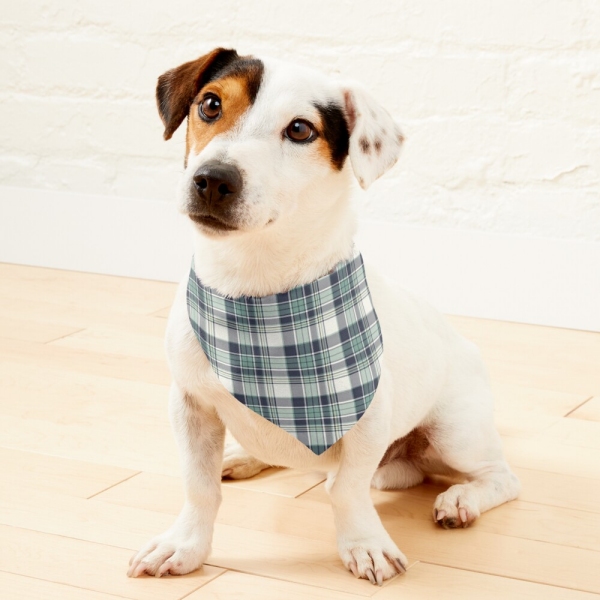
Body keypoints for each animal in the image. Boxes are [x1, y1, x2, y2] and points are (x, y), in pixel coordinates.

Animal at [127, 48, 520, 584]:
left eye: (299, 130)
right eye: (210, 104)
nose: (212, 179)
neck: (256, 289)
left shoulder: (368, 419)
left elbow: (347, 490)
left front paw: (365, 544)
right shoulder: (190, 405)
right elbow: (199, 486)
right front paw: (185, 545)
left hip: (456, 432)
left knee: (500, 477)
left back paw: (461, 499)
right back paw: (244, 456)